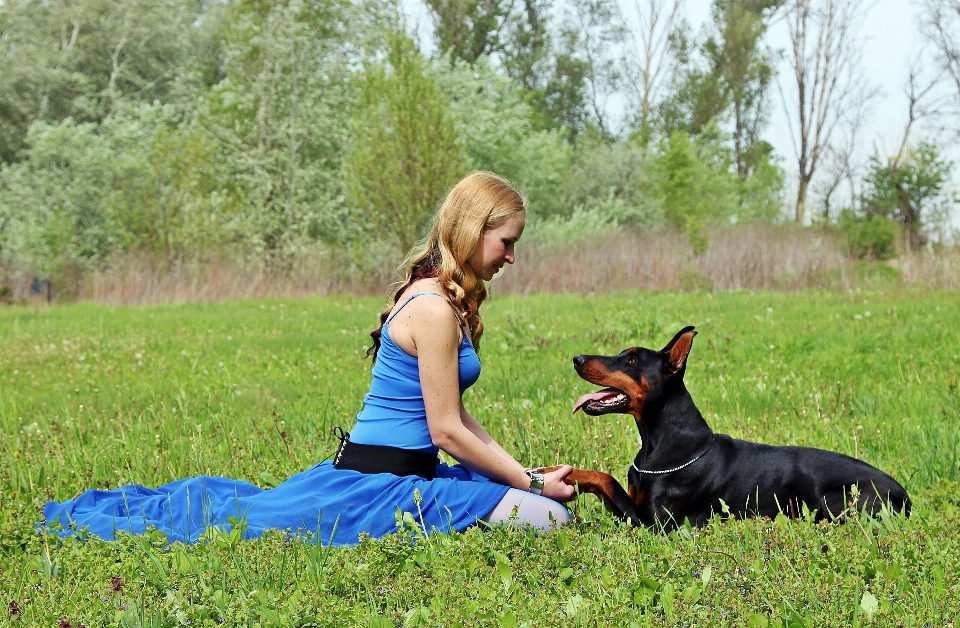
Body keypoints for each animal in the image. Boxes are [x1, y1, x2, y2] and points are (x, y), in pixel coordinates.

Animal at [552, 328, 912, 528]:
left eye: (631, 361)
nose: (577, 359)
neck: (661, 441)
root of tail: (905, 496)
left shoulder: (656, 524)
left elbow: (606, 479)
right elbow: (606, 482)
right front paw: (559, 473)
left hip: (835, 501)